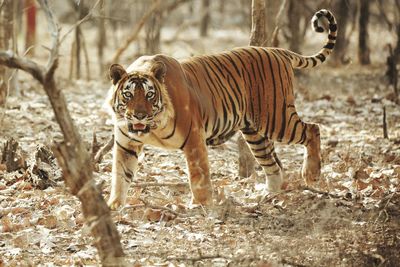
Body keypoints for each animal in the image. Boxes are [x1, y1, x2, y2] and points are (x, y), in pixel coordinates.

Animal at [107, 8, 338, 209]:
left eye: (149, 95)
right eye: (128, 95)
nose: (139, 115)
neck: (153, 127)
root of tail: (277, 50)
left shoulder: (194, 138)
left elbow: (198, 175)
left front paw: (200, 206)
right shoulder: (126, 144)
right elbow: (120, 175)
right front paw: (114, 206)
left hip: (276, 118)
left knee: (312, 128)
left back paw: (311, 174)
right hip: (256, 133)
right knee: (274, 165)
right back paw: (269, 195)